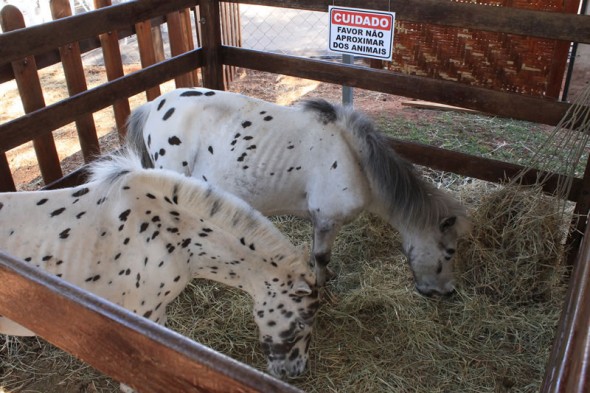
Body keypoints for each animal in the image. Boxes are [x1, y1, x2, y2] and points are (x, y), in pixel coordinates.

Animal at [127, 87, 474, 296]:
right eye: (449, 251)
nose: (448, 291)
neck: (355, 159)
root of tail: (153, 105)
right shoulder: (327, 219)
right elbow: (320, 255)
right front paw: (320, 287)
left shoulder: (318, 220)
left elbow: (316, 253)